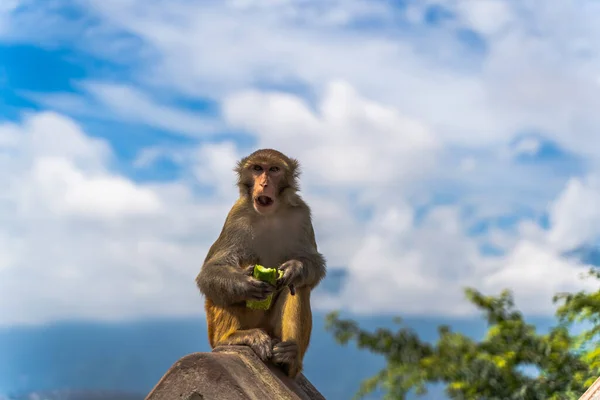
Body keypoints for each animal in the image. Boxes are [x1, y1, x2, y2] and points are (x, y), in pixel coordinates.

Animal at [195, 148, 326, 380]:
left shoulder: (302, 214)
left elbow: (314, 264)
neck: (270, 214)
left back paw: (290, 357)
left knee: (298, 288)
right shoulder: (236, 216)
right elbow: (210, 271)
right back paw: (233, 337)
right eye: (257, 168)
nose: (263, 183)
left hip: (271, 330)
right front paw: (244, 283)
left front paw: (295, 268)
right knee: (224, 285)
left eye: (273, 169)